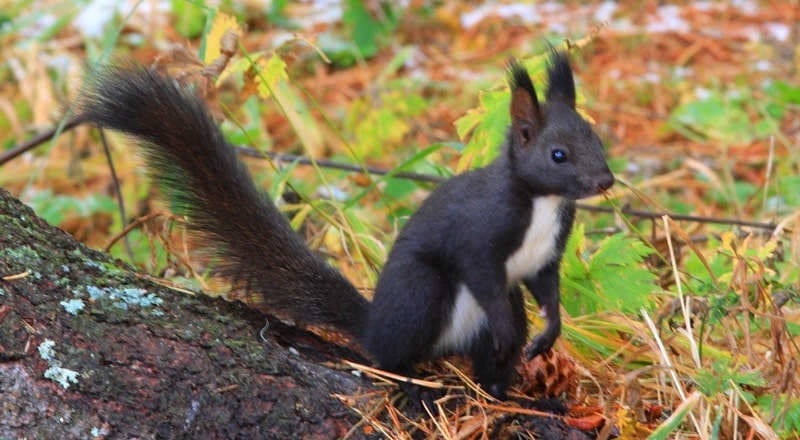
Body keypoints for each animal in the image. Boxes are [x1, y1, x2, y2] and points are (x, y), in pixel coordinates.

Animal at [76, 50, 612, 402]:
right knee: (392, 357)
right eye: (558, 154)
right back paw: (414, 384)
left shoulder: (545, 255)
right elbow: (481, 270)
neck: (542, 203)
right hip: (423, 291)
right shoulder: (479, 235)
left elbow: (548, 289)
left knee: (492, 358)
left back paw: (512, 394)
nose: (605, 180)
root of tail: (373, 325)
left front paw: (551, 331)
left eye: (597, 138)